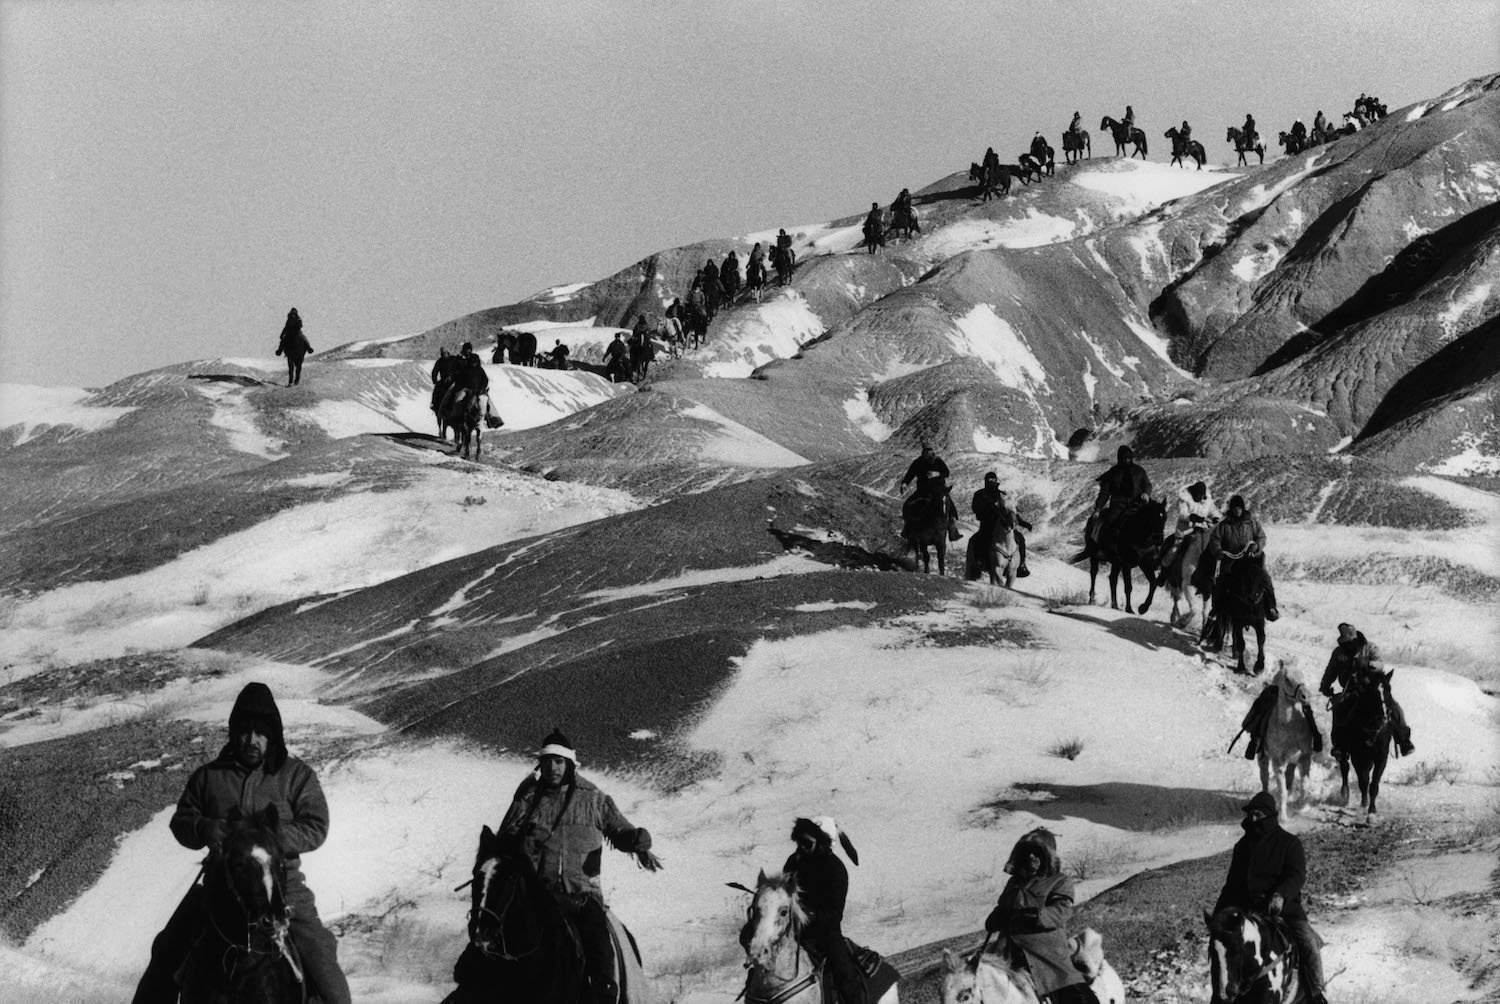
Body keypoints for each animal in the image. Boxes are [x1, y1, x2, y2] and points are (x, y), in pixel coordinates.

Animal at [1254, 657, 1314, 822]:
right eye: (1287, 679)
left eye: (1302, 674)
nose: (1305, 696)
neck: (1289, 727)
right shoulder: (1278, 763)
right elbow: (1282, 792)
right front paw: (1283, 817)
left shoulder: (1305, 758)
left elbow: (1305, 785)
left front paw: (1301, 806)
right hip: (1262, 756)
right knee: (1264, 777)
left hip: (1292, 762)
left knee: (1290, 778)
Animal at [1338, 669, 1392, 816]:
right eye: (1375, 693)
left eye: (1388, 689)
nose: (1385, 715)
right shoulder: (1358, 757)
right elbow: (1363, 781)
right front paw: (1364, 804)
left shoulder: (1381, 758)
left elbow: (1373, 784)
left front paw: (1372, 809)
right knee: (1344, 767)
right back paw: (1345, 794)